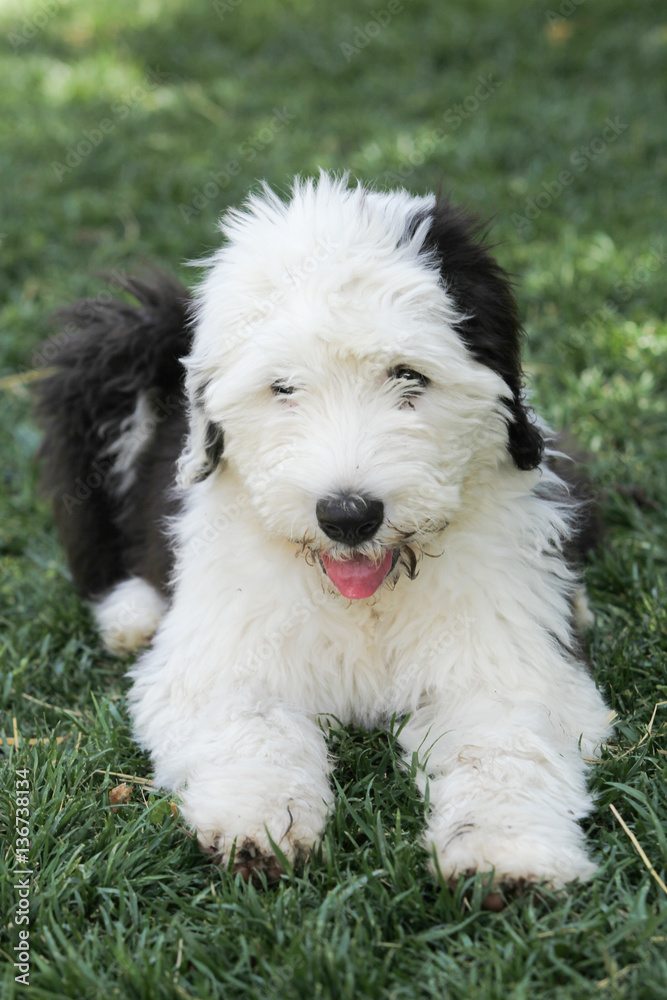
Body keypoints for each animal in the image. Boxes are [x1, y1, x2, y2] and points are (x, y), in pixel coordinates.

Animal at [35, 172, 612, 892]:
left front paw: (505, 853)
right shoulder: (223, 655)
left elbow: (504, 744)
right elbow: (252, 723)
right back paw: (131, 616)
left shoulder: (505, 658)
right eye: (282, 386)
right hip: (104, 354)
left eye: (408, 375)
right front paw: (258, 823)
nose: (348, 516)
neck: (366, 598)